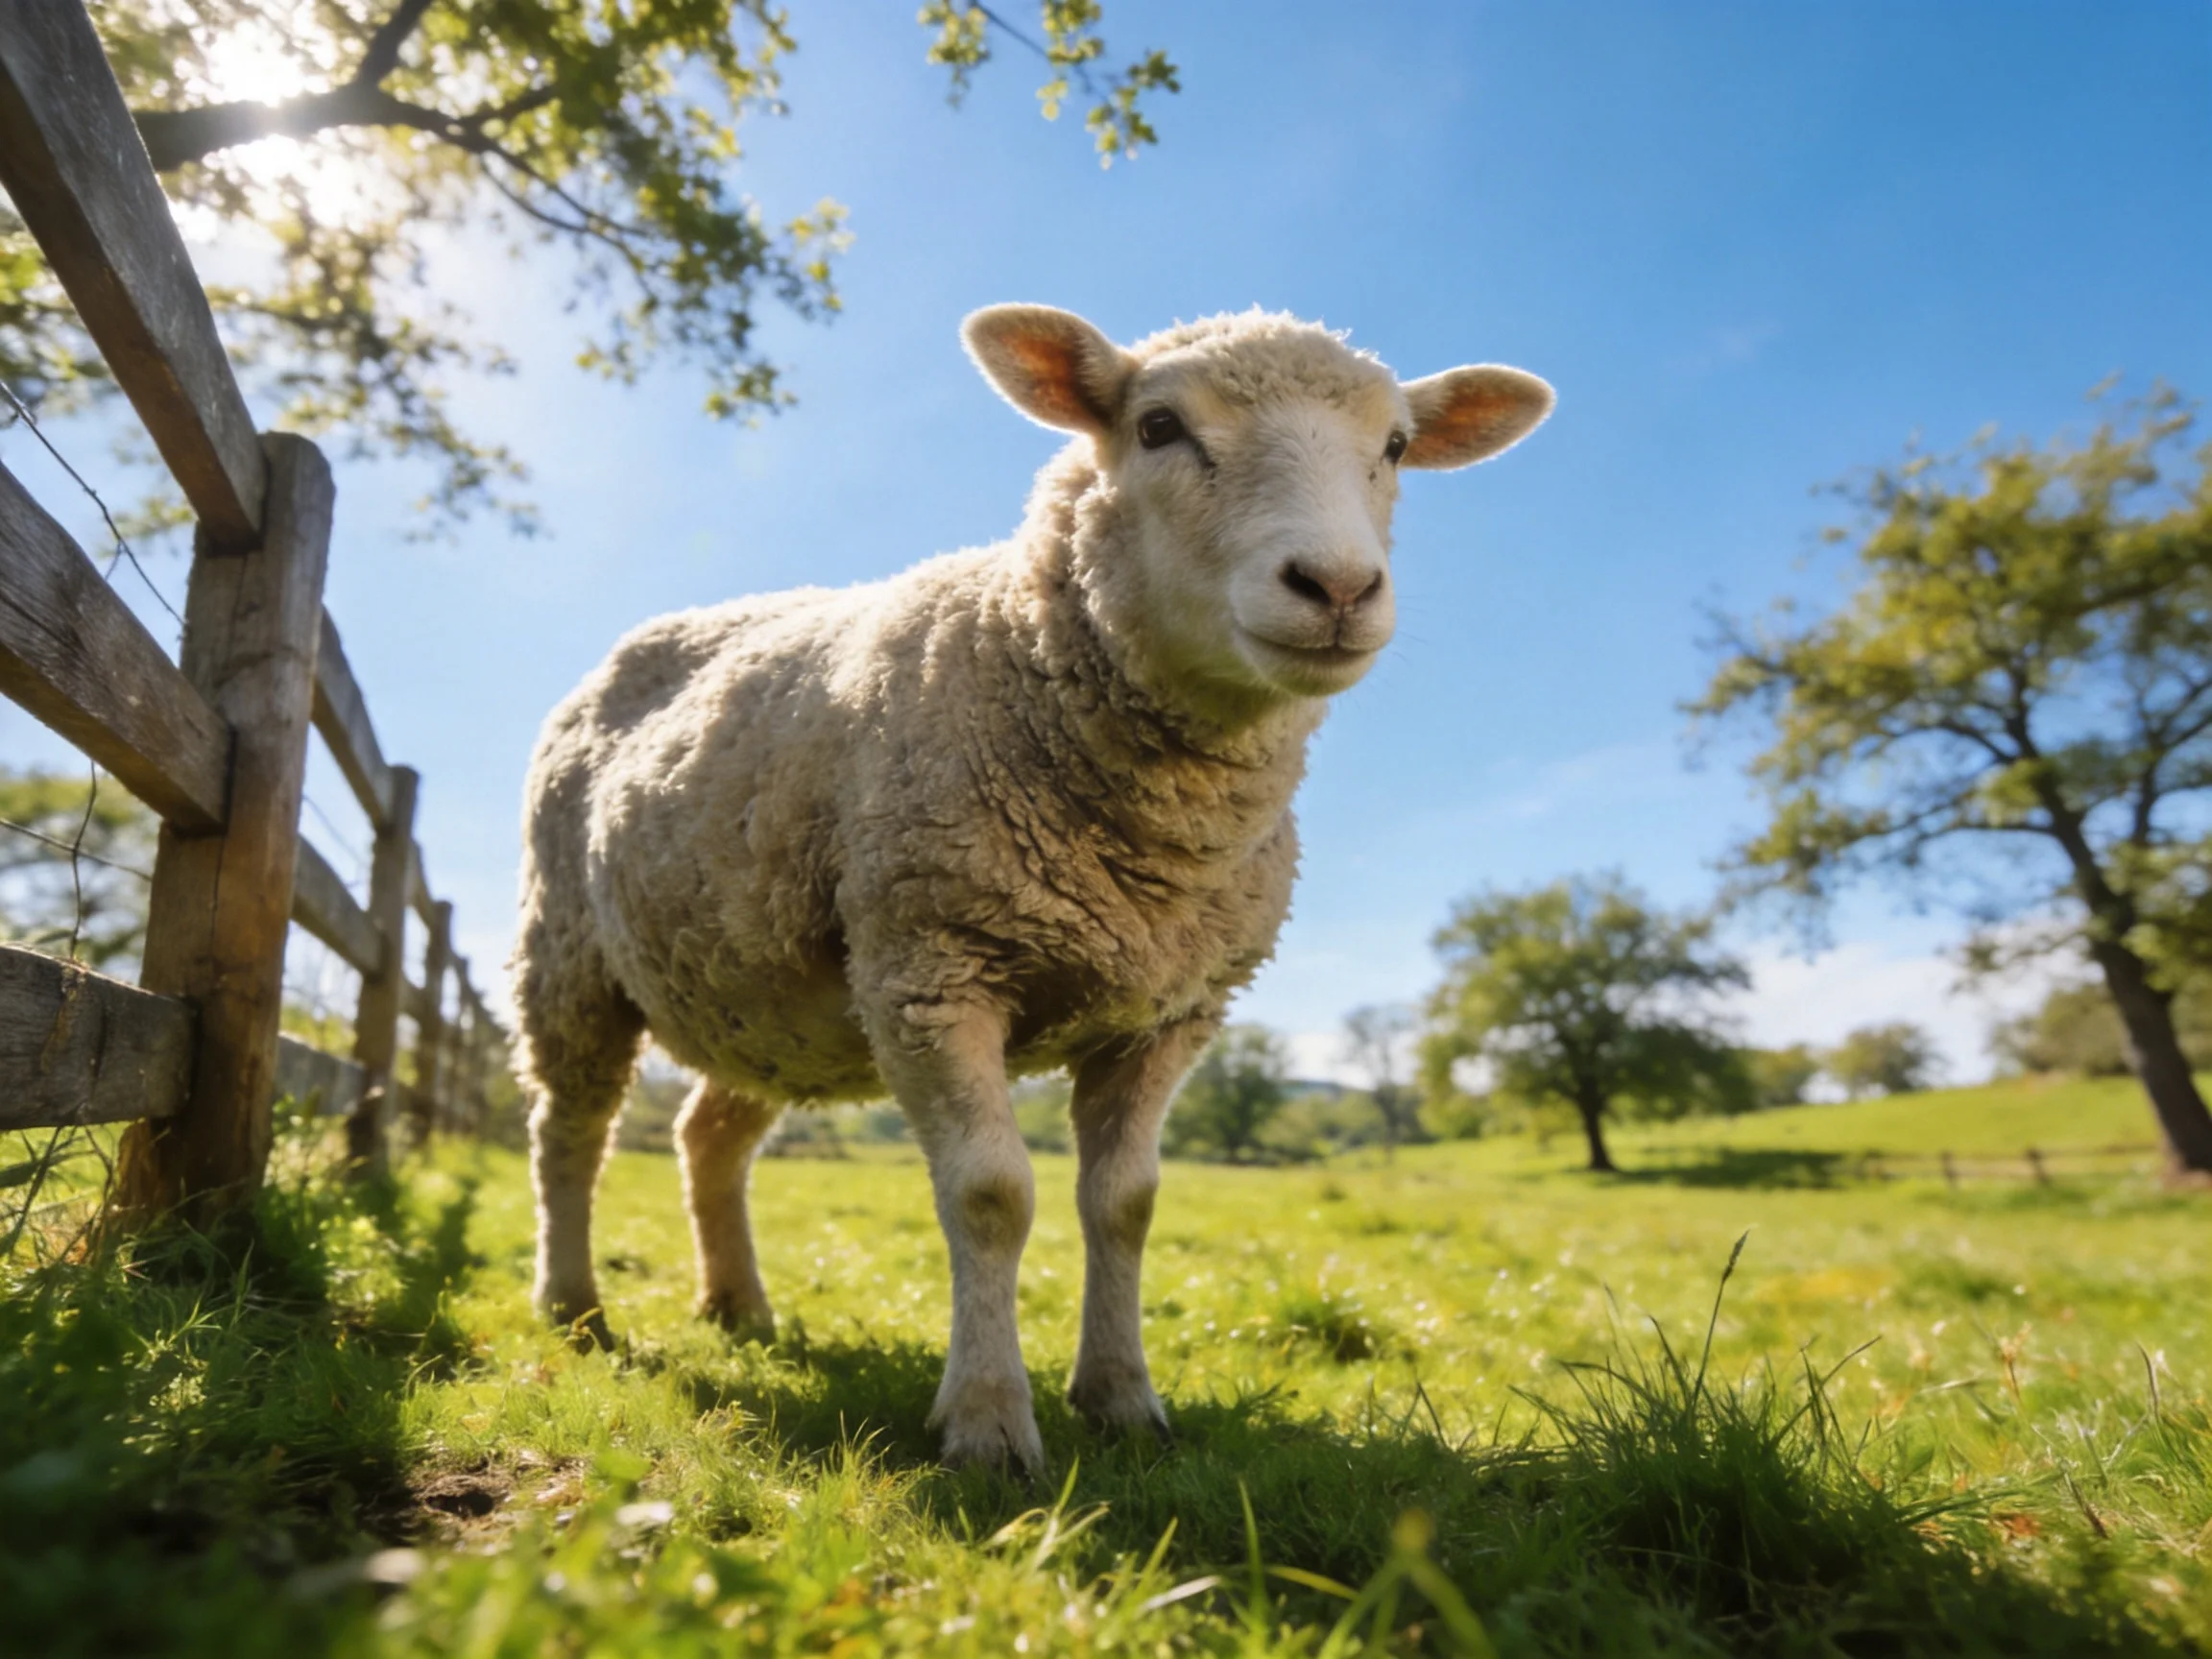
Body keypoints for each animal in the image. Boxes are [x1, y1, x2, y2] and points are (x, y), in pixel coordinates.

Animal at [514, 304, 1552, 1471]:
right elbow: (992, 1195)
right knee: (570, 1131)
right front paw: (987, 1424)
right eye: (1157, 426)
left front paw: (1121, 1398)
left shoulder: (1172, 1011)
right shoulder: (932, 968)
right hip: (570, 955)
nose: (1337, 588)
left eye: (1397, 448)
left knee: (708, 1138)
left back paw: (739, 1306)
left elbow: (1128, 1205)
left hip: (762, 989)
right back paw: (574, 1307)